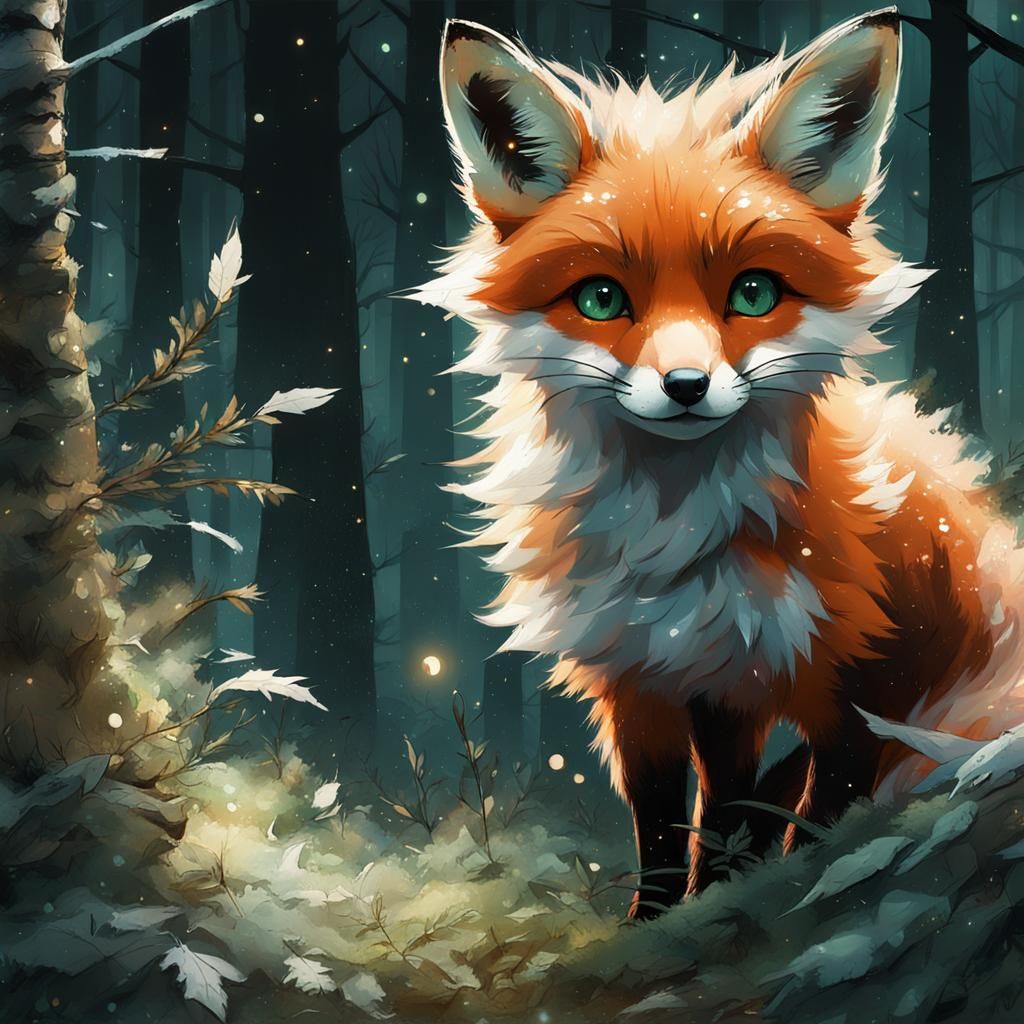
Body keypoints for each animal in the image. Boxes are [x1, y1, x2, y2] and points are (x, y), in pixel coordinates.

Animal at [419, 10, 1024, 917]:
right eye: (601, 298)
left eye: (753, 293)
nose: (686, 386)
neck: (681, 543)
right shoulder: (654, 677)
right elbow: (674, 822)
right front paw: (660, 921)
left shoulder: (856, 674)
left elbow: (809, 809)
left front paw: (768, 891)